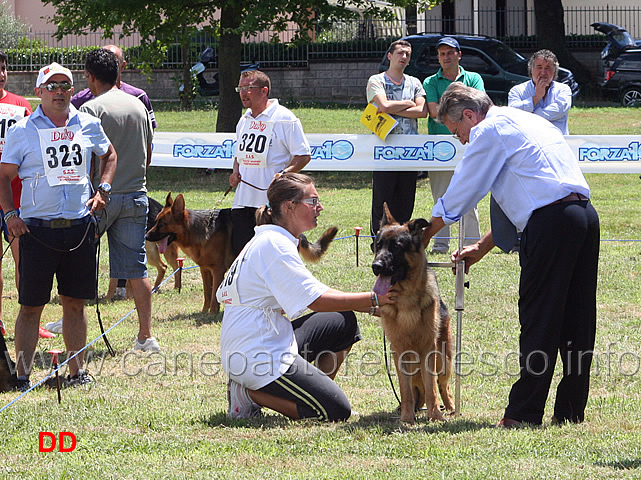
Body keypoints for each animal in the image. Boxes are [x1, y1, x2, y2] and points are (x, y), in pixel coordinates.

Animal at [145, 192, 336, 316]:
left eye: (162, 224)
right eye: (155, 221)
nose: (146, 236)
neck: (197, 228)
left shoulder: (217, 270)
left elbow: (213, 295)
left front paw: (212, 314)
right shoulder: (205, 269)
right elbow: (207, 293)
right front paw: (204, 312)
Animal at [370, 204, 456, 422]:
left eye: (396, 247)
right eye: (378, 245)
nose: (376, 266)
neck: (406, 298)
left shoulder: (428, 349)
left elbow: (432, 387)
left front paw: (436, 416)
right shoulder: (398, 351)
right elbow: (405, 389)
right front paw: (407, 418)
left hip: (444, 359)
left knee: (442, 386)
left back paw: (450, 408)